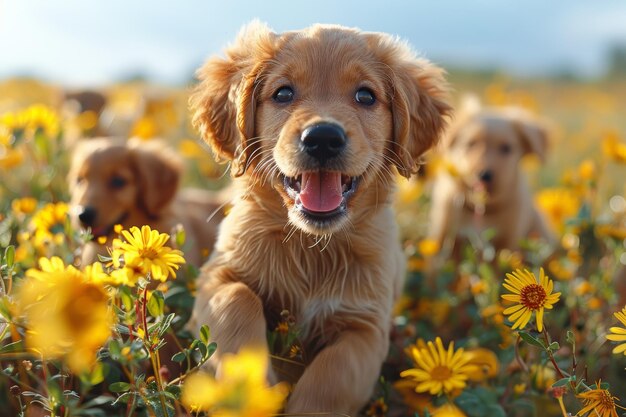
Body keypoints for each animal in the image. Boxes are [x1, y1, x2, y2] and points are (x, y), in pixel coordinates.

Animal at [186, 22, 448, 412]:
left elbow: (335, 373)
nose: (323, 138)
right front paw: (252, 390)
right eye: (283, 93)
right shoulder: (216, 277)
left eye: (366, 96)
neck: (312, 245)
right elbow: (237, 302)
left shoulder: (367, 326)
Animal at [426, 100, 552, 256]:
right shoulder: (444, 236)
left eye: (506, 148)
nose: (484, 175)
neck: (484, 209)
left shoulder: (507, 242)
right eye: (471, 144)